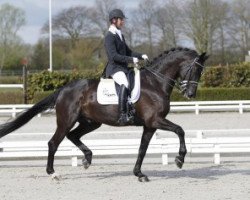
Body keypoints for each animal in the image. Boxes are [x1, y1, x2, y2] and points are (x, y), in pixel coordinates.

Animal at [0, 47, 208, 182]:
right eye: (195, 69)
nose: (190, 94)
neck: (155, 83)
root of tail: (64, 89)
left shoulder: (149, 125)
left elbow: (142, 149)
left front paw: (139, 174)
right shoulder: (155, 120)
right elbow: (180, 130)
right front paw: (179, 159)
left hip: (91, 122)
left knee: (73, 135)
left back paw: (87, 158)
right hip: (67, 120)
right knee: (53, 143)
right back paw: (53, 173)